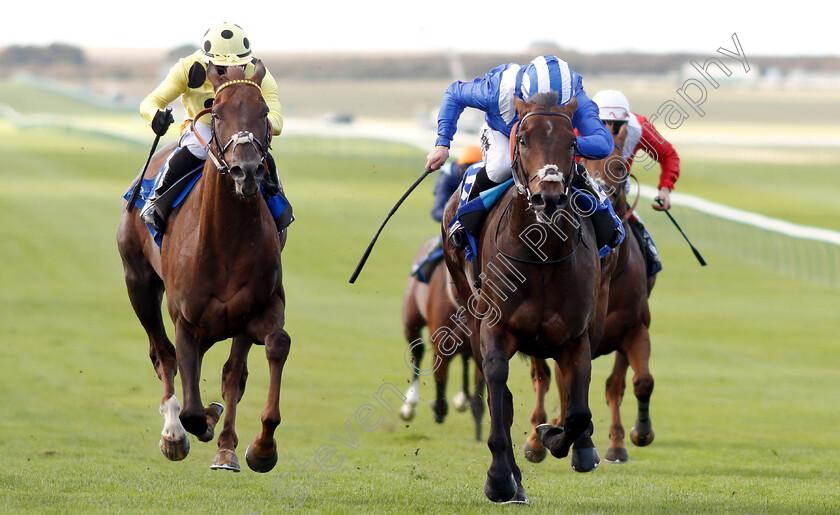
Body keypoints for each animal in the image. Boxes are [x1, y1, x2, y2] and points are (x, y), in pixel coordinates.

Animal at [116, 62, 290, 474]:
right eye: (218, 113)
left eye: (264, 112)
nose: (247, 171)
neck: (225, 241)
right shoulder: (186, 319)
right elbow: (192, 408)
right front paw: (190, 425)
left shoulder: (260, 308)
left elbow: (271, 348)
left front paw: (260, 448)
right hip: (138, 283)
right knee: (162, 354)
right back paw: (173, 433)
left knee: (231, 372)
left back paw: (225, 446)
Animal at [400, 236, 486, 442]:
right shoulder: (441, 343)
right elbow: (440, 385)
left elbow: (479, 398)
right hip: (411, 319)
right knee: (418, 350)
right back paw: (410, 404)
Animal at [440, 94, 616, 506]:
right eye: (523, 140)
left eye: (572, 142)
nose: (548, 196)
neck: (542, 255)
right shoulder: (494, 328)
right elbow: (498, 396)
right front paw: (500, 479)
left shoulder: (575, 337)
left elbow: (578, 411)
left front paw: (554, 437)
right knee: (500, 397)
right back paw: (512, 479)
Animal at [524, 122, 656, 468]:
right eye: (583, 161)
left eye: (621, 167)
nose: (600, 194)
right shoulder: (568, 338)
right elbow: (564, 387)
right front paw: (555, 435)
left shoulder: (633, 330)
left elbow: (633, 383)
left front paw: (631, 437)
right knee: (542, 378)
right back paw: (536, 439)